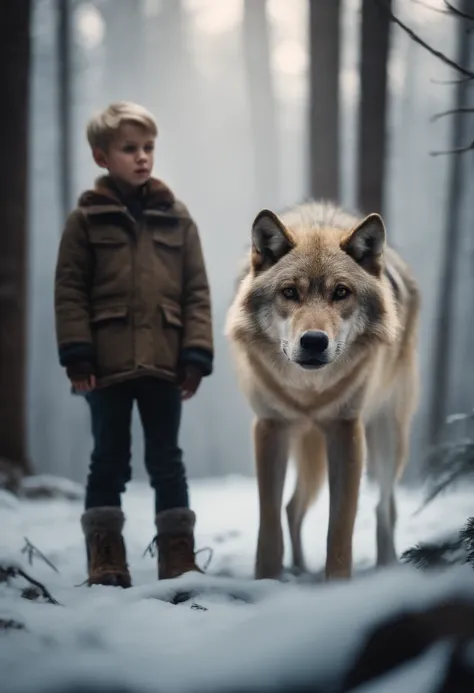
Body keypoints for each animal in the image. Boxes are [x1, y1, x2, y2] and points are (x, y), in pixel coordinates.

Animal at [225, 200, 418, 580]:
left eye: (341, 292)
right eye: (289, 291)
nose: (314, 341)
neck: (310, 392)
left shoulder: (346, 431)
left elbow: (340, 526)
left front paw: (337, 584)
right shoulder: (270, 429)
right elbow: (269, 523)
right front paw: (267, 578)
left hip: (388, 438)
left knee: (385, 507)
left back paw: (387, 569)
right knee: (292, 507)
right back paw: (299, 570)